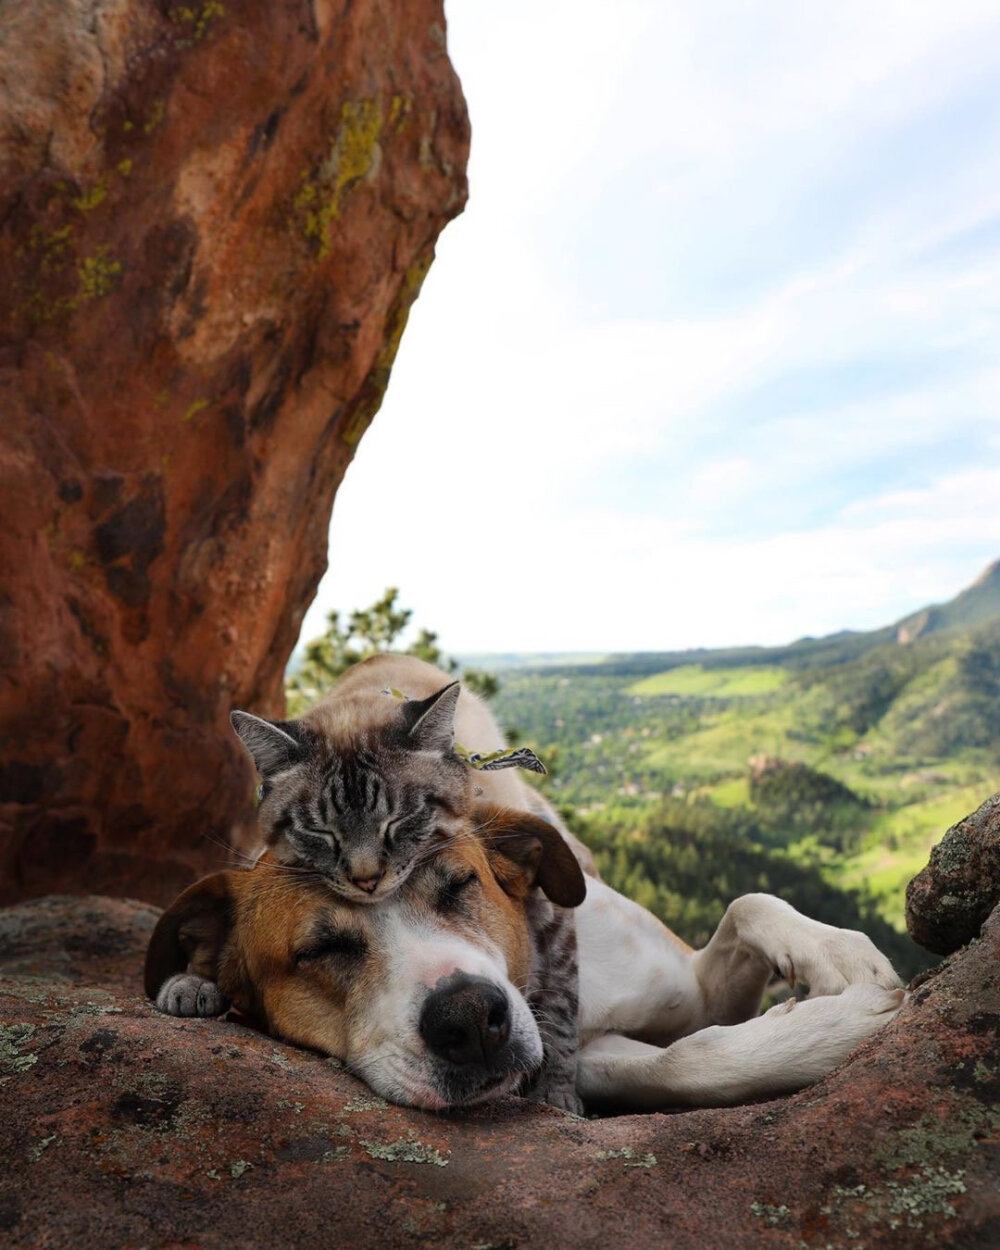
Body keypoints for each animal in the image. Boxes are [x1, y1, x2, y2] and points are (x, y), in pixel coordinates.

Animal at [148, 805, 905, 1110]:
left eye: (459, 884)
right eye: (320, 948)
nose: (469, 1020)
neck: (552, 971)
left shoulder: (697, 987)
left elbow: (747, 902)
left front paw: (840, 959)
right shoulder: (591, 1056)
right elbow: (680, 1061)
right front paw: (837, 1025)